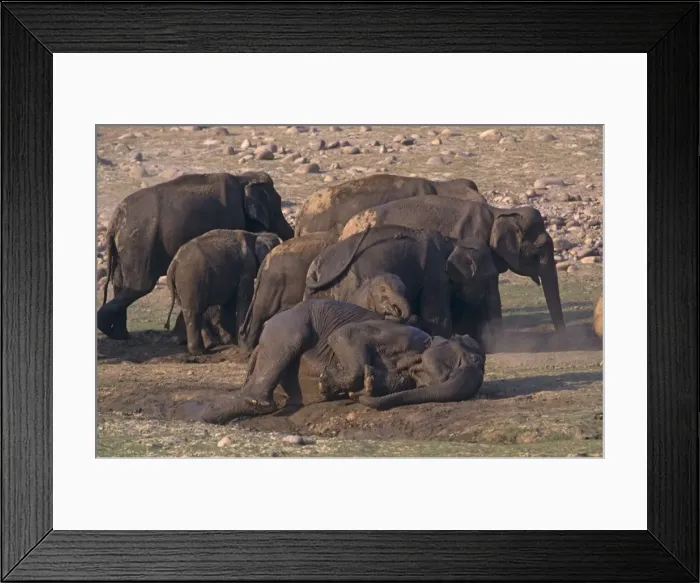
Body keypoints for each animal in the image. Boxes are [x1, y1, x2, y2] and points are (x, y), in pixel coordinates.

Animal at [97, 171, 294, 340]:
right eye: (277, 205)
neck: (242, 178)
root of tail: (113, 222)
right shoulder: (231, 217)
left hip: (126, 248)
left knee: (120, 284)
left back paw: (119, 334)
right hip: (140, 245)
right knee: (139, 286)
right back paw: (109, 329)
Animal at [196, 299, 485, 424]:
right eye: (451, 369)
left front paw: (364, 387)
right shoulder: (401, 334)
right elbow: (345, 335)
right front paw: (328, 384)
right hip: (287, 324)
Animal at [304, 225, 499, 343]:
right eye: (491, 276)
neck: (452, 242)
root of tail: (321, 265)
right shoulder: (435, 275)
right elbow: (437, 318)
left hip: (318, 291)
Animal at [340, 196, 565, 332]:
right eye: (541, 248)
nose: (561, 338)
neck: (498, 212)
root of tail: (345, 229)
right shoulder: (476, 245)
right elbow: (491, 293)